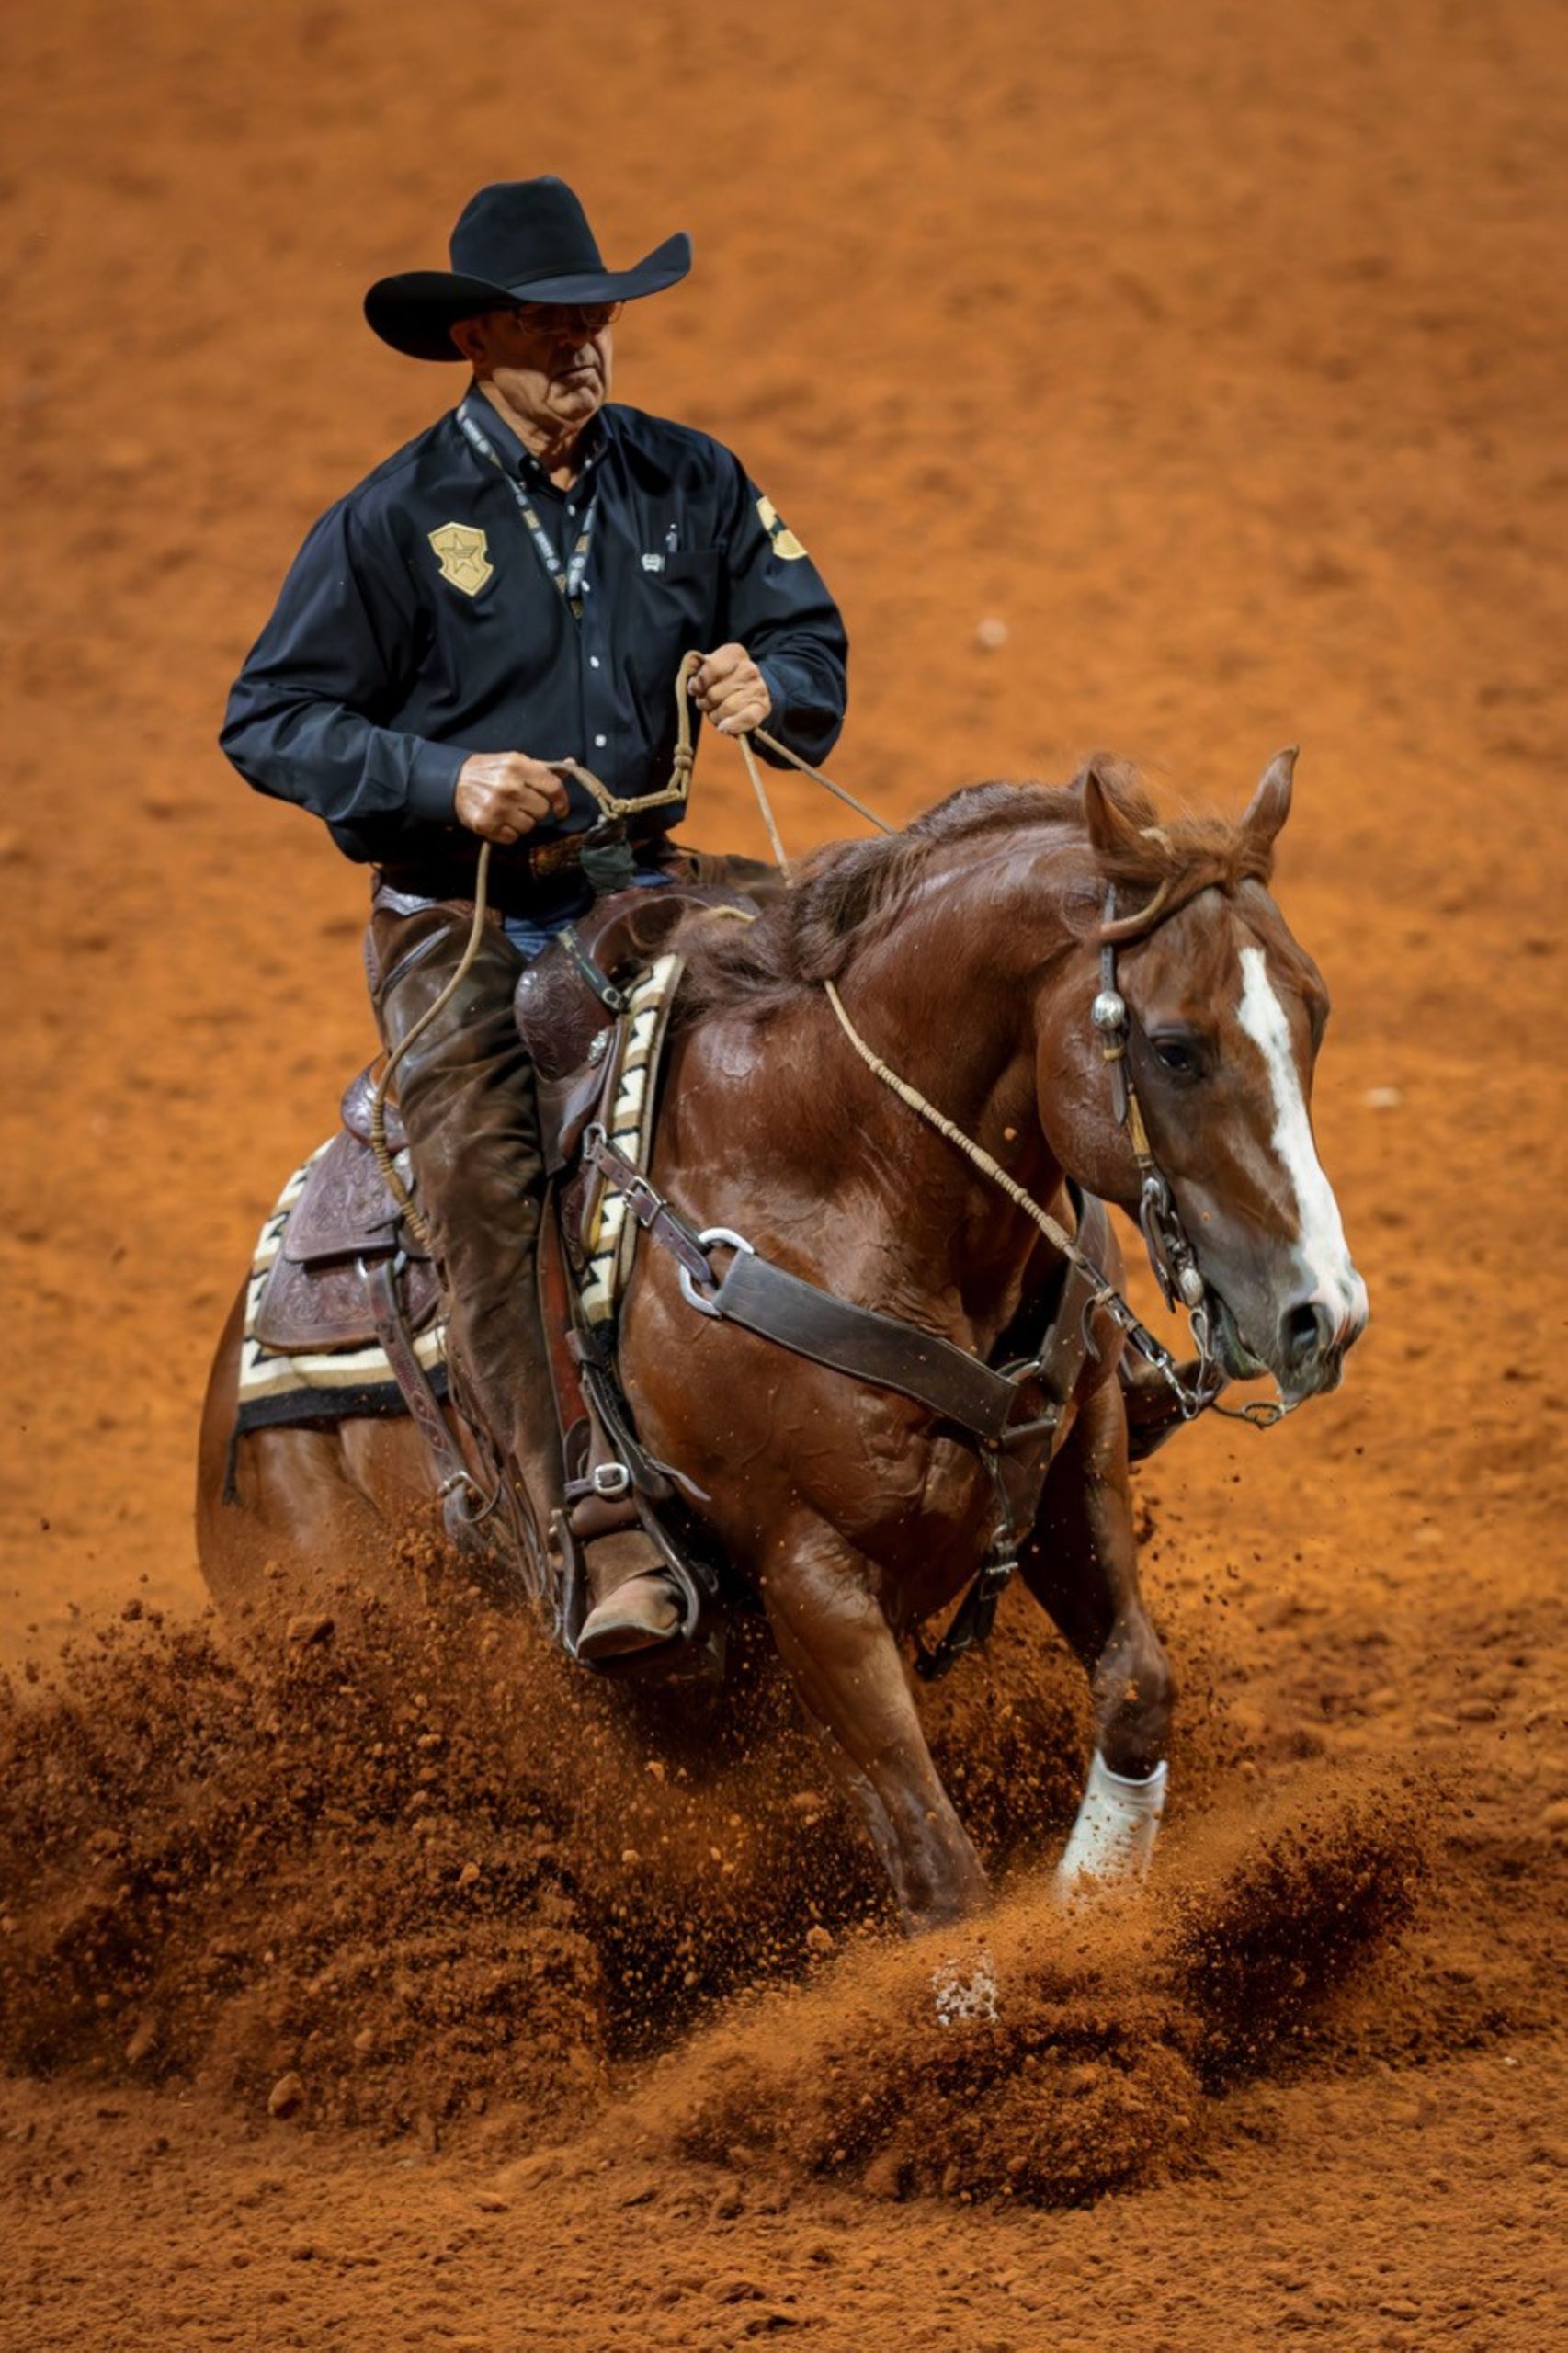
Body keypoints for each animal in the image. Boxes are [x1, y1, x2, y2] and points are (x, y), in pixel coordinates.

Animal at [197, 753, 1367, 1937]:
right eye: (1172, 1047)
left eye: (1313, 1011)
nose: (1322, 1314)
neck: (843, 1171)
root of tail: (223, 1409)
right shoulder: (806, 1571)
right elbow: (939, 1869)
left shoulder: (1072, 1457)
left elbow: (1134, 1687)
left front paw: (1091, 1909)